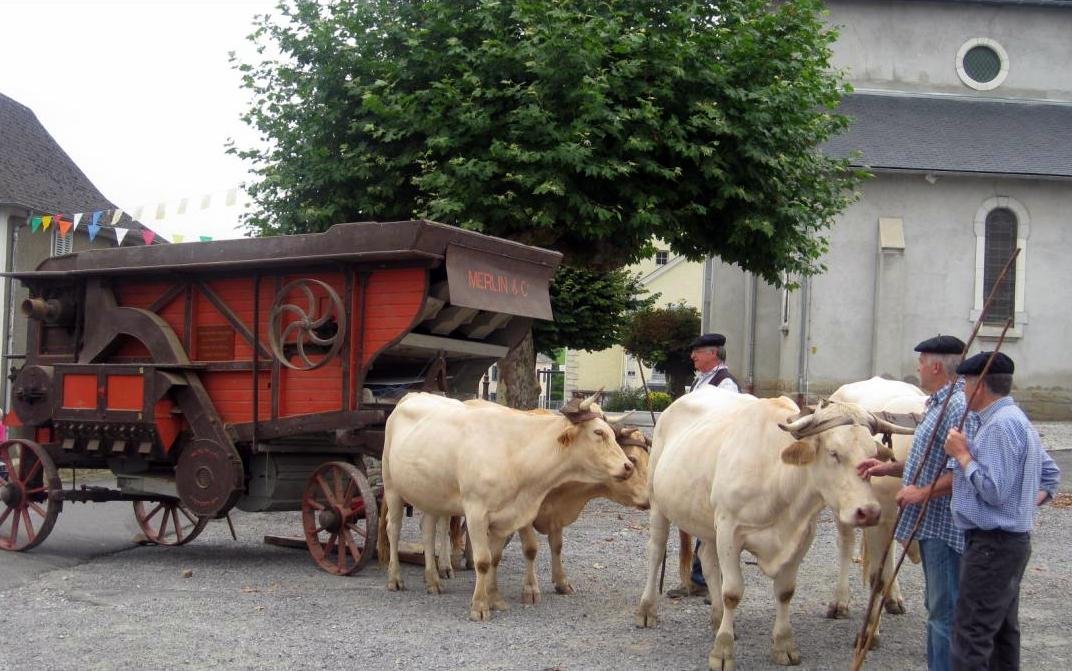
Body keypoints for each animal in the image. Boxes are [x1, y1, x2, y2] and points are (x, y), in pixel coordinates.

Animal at [381, 391, 634, 621]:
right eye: (598, 432)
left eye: (610, 432)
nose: (628, 466)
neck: (513, 452)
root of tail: (412, 395)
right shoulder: (476, 512)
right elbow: (482, 561)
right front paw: (479, 605)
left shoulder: (504, 516)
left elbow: (494, 558)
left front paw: (494, 598)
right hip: (391, 486)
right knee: (393, 530)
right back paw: (395, 578)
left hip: (431, 495)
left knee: (428, 531)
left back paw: (433, 580)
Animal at [635, 386, 909, 669]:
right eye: (834, 453)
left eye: (873, 456)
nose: (870, 512)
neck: (778, 477)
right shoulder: (729, 530)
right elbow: (732, 592)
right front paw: (723, 651)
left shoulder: (802, 535)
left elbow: (785, 591)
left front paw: (784, 645)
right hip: (658, 502)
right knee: (656, 552)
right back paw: (647, 610)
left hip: (707, 520)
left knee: (708, 560)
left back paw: (718, 619)